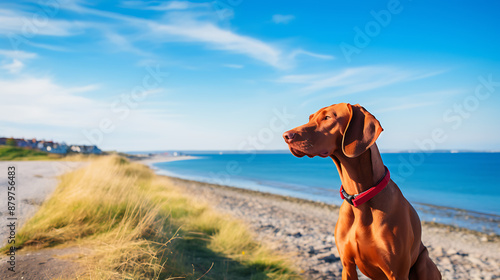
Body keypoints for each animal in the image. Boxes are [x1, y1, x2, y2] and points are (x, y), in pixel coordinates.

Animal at [284, 103, 440, 280]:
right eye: (310, 118)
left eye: (327, 117)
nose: (286, 136)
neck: (359, 197)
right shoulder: (347, 266)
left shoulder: (397, 273)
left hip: (423, 262)